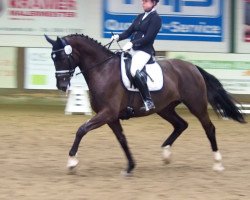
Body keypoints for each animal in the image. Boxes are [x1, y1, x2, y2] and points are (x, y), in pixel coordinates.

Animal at [45, 33, 246, 174]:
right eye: (52, 58)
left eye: (62, 57)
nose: (61, 86)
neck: (102, 70)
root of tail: (192, 67)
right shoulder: (111, 117)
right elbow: (122, 139)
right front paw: (130, 166)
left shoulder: (107, 113)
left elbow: (81, 130)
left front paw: (72, 162)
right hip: (165, 108)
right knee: (181, 124)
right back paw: (166, 154)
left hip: (196, 105)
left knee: (208, 128)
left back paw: (218, 163)